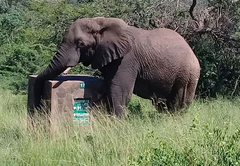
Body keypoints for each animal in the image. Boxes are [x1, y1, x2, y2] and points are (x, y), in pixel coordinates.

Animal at [33, 16, 199, 118]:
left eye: (80, 43)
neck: (100, 22)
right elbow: (109, 88)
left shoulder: (126, 60)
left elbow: (119, 91)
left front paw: (117, 125)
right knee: (163, 103)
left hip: (188, 75)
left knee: (179, 101)